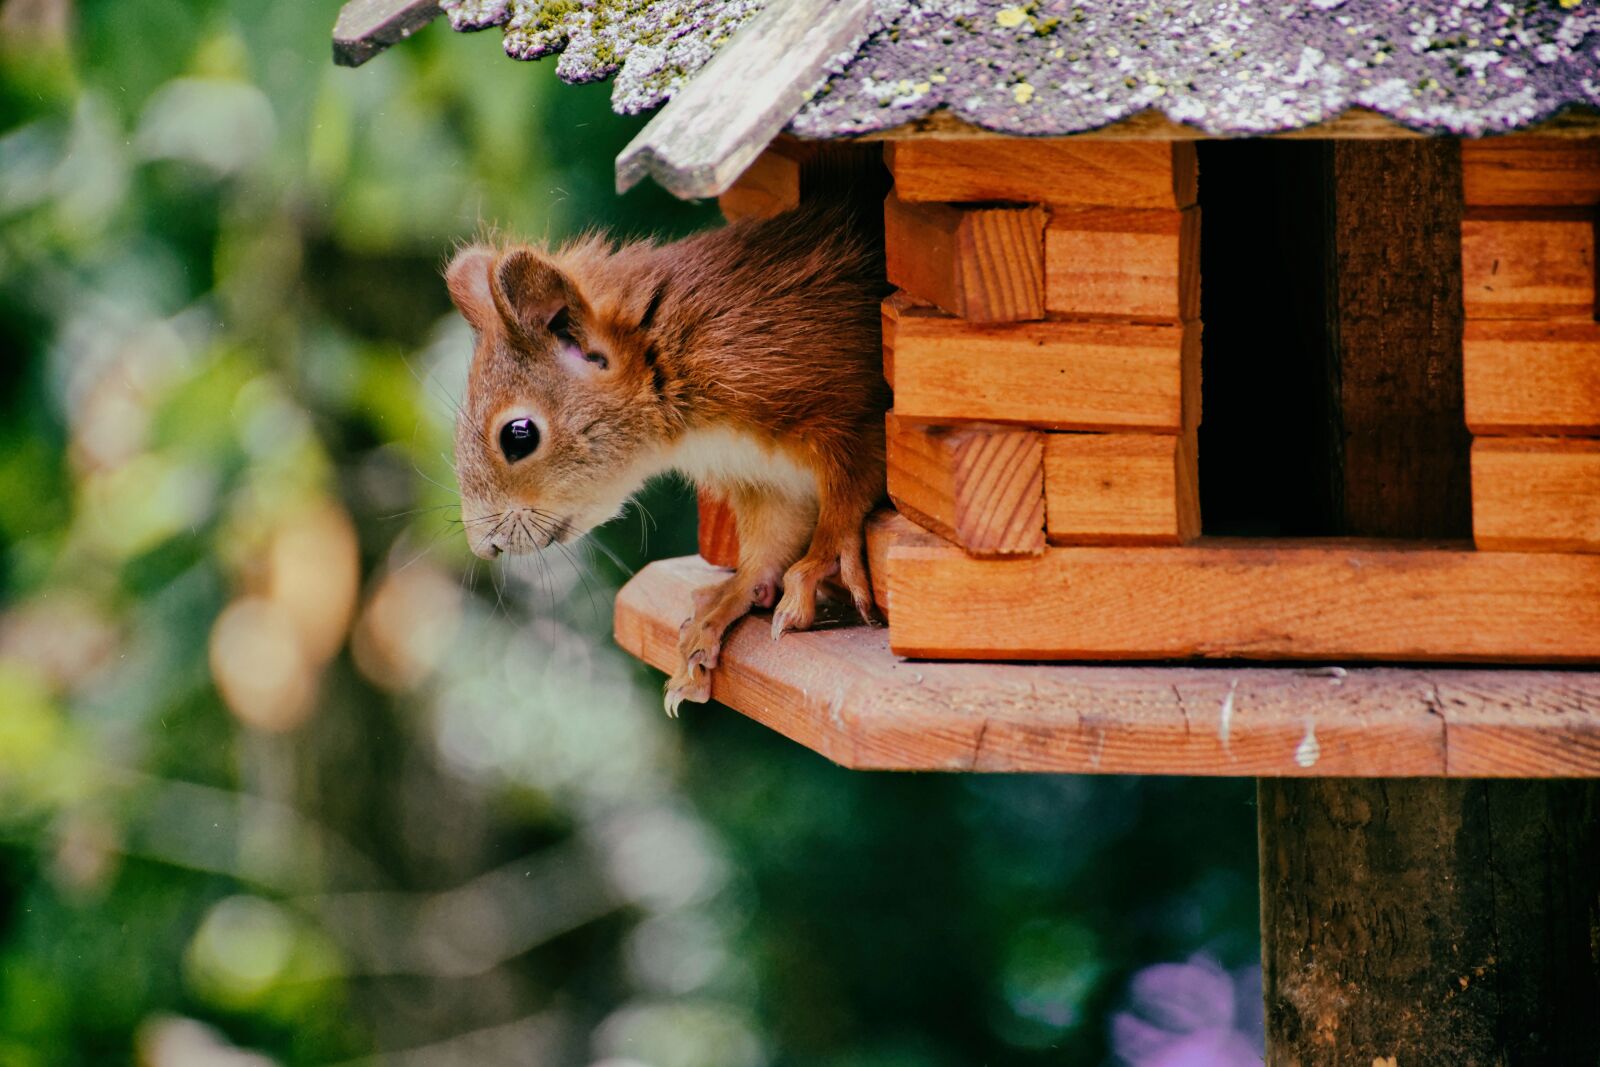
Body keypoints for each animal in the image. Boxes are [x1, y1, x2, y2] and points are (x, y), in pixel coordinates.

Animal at [445, 205, 890, 714]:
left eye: (519, 435)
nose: (485, 546)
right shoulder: (767, 481)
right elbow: (769, 546)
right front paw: (720, 609)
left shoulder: (844, 409)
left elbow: (851, 486)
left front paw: (822, 559)